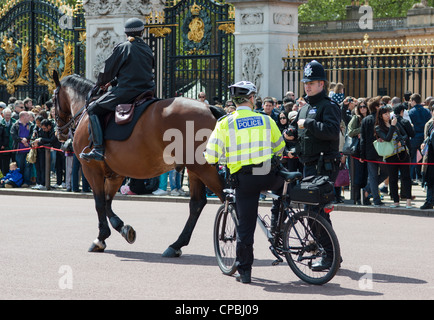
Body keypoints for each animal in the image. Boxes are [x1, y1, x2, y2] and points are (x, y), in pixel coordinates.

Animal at [52, 71, 225, 256]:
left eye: (53, 100)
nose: (59, 133)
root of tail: (208, 108)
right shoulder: (116, 174)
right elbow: (107, 201)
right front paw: (122, 228)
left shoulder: (91, 169)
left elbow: (99, 202)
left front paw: (101, 238)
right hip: (194, 170)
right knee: (197, 204)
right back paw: (176, 245)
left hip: (203, 168)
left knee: (225, 197)